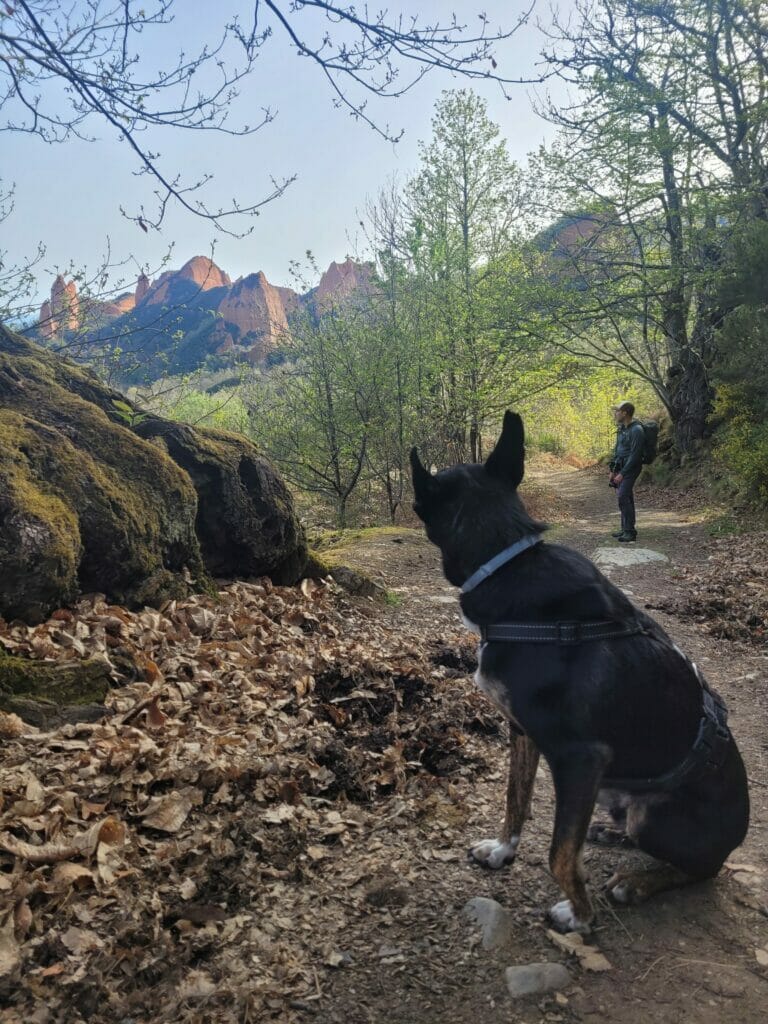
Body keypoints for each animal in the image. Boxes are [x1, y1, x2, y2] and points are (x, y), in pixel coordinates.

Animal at [411, 411, 749, 933]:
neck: (506, 563)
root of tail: (738, 835)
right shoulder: (522, 732)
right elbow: (516, 800)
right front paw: (503, 850)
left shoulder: (580, 758)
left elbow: (558, 853)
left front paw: (580, 915)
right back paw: (612, 837)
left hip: (655, 816)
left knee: (703, 869)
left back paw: (638, 881)